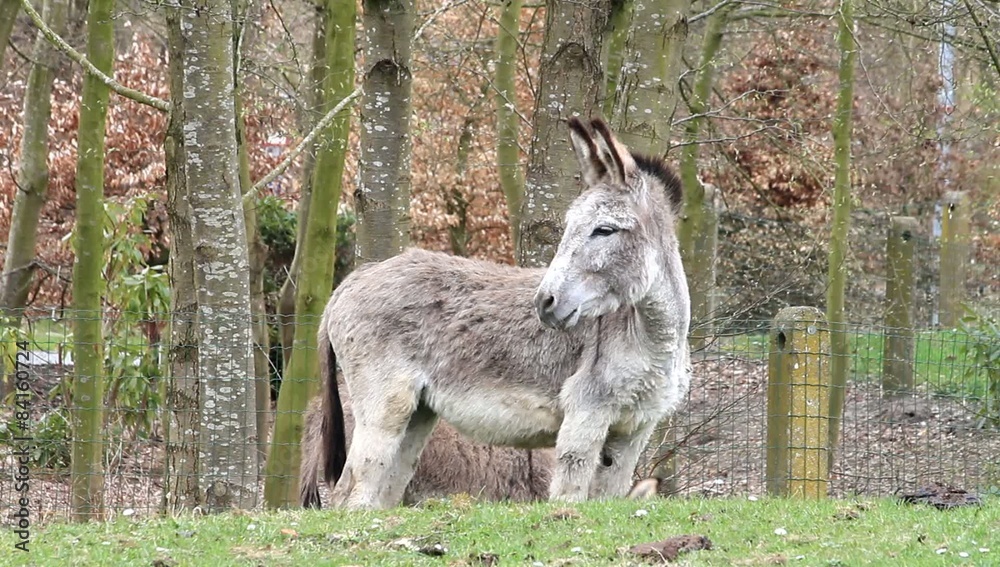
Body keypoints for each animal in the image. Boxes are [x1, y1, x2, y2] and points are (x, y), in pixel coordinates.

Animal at [312, 117, 690, 509]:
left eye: (604, 230)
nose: (545, 303)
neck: (651, 337)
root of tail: (351, 281)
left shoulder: (634, 431)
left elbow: (608, 498)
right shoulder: (585, 416)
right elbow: (568, 495)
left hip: (418, 415)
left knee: (381, 492)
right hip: (383, 406)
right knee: (349, 493)